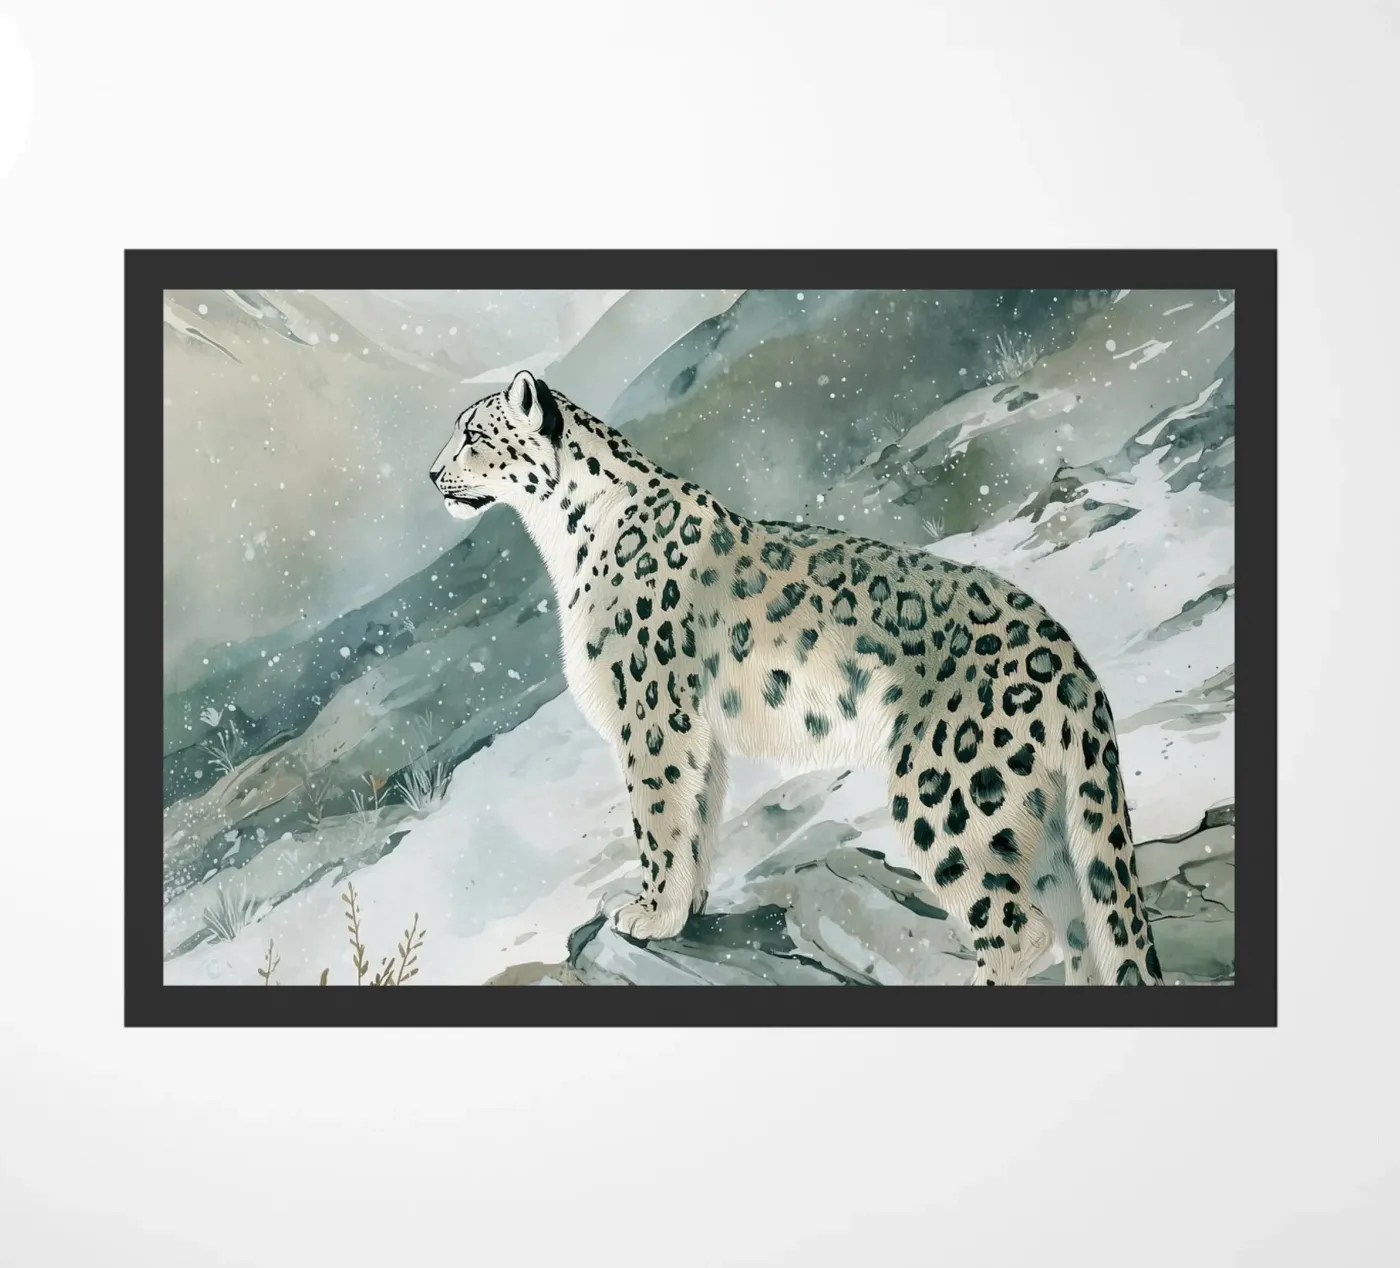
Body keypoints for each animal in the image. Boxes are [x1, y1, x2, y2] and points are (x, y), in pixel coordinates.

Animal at [430, 370, 1163, 986]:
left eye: (473, 435)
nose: (434, 474)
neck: (566, 542)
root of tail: (1070, 657)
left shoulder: (651, 713)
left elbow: (657, 818)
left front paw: (649, 912)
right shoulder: (697, 734)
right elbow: (697, 818)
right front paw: (683, 908)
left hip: (950, 795)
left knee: (1016, 927)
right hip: (1044, 822)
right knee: (1080, 928)